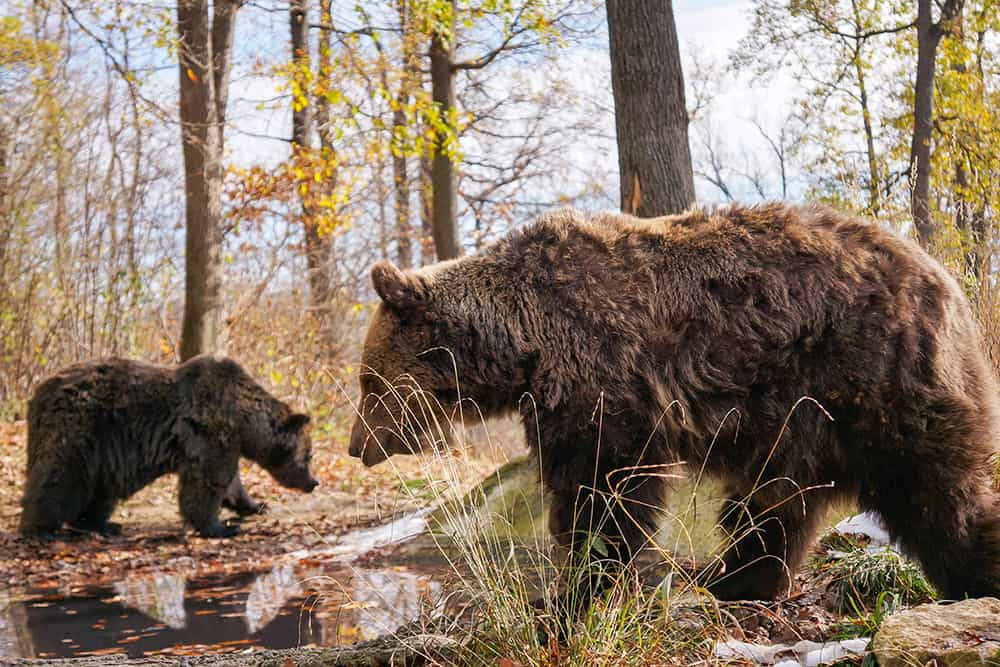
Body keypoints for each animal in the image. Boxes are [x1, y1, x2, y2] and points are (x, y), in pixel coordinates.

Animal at [20, 354, 316, 536]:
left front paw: (257, 505)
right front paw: (220, 527)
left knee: (100, 490)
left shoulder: (223, 442)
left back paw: (102, 525)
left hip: (103, 453)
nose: (314, 483)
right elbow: (206, 483)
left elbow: (231, 482)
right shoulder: (207, 434)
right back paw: (42, 528)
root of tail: (38, 393)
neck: (242, 421)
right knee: (59, 476)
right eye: (309, 455)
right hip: (81, 428)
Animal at [348, 205, 1000, 616]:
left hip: (872, 377)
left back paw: (975, 573)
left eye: (368, 381)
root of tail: (946, 281)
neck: (525, 344)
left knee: (934, 490)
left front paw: (571, 589)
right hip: (800, 418)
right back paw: (732, 580)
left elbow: (603, 488)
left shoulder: (603, 374)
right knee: (775, 503)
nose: (358, 446)